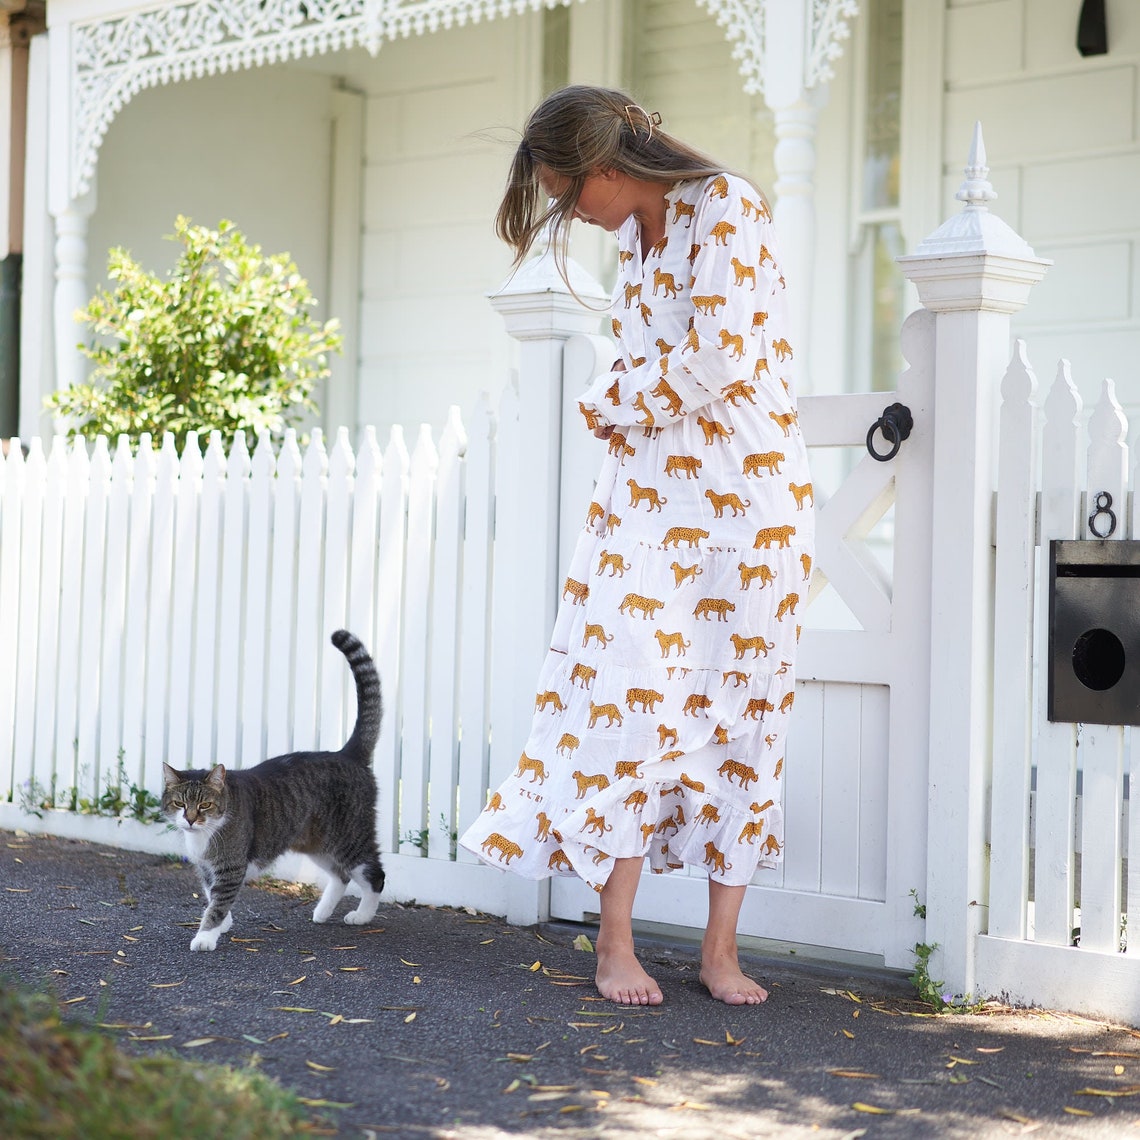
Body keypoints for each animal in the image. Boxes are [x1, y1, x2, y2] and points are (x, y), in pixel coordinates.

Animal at [164, 633, 387, 953]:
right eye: (180, 803)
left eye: (205, 805)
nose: (191, 819)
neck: (204, 836)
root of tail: (347, 753)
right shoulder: (207, 869)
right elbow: (211, 895)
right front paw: (223, 924)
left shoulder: (231, 867)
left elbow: (218, 902)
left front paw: (206, 936)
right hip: (318, 844)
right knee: (341, 875)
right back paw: (323, 912)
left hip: (349, 838)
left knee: (374, 875)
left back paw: (363, 915)